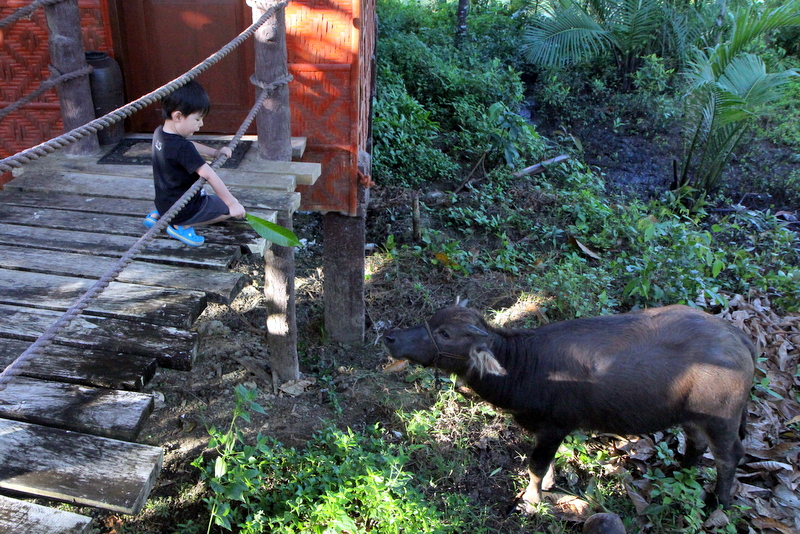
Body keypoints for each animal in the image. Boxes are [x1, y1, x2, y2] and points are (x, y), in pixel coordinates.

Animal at [382, 304, 756, 512]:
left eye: (445, 333)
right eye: (434, 320)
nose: (390, 337)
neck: (524, 366)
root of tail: (738, 338)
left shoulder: (554, 427)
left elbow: (535, 465)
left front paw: (531, 500)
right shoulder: (544, 430)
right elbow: (545, 464)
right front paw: (548, 485)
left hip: (721, 418)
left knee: (729, 456)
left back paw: (718, 502)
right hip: (691, 415)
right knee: (695, 443)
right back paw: (676, 471)